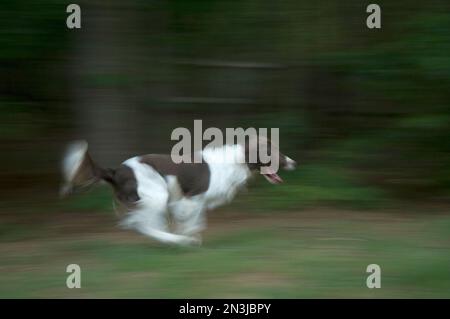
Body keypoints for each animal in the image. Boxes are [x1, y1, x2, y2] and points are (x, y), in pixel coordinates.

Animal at [61, 139, 298, 246]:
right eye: (274, 152)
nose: (293, 163)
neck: (235, 162)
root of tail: (117, 170)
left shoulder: (194, 201)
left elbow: (197, 221)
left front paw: (191, 235)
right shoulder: (190, 198)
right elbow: (193, 221)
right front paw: (188, 238)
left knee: (142, 223)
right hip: (156, 194)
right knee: (140, 224)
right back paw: (174, 240)